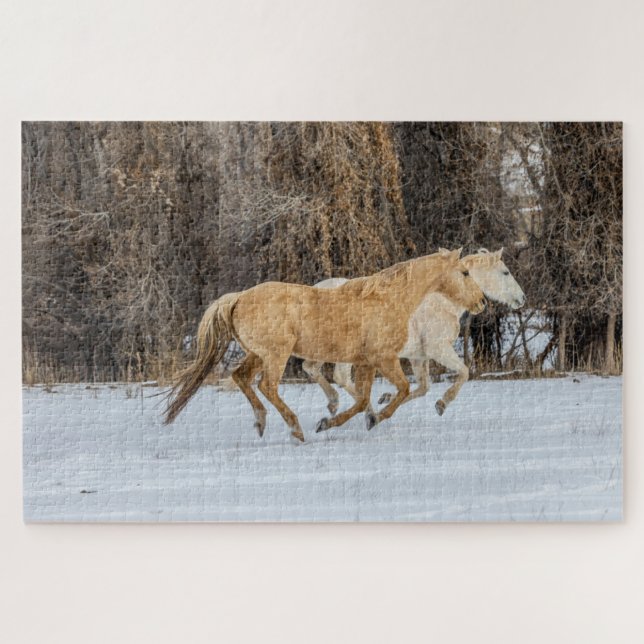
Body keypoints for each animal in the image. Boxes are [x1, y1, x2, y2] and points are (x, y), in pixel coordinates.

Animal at [163, 248, 486, 442]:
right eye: (465, 272)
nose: (482, 302)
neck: (387, 300)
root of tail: (239, 298)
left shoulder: (366, 362)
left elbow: (362, 400)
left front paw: (338, 421)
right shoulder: (384, 358)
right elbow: (403, 390)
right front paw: (373, 418)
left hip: (256, 353)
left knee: (241, 377)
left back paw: (261, 423)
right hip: (276, 355)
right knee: (267, 386)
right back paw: (295, 429)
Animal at [303, 248, 525, 419]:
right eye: (505, 272)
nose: (522, 298)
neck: (442, 302)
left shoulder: (419, 356)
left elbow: (422, 388)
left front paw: (385, 399)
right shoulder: (438, 349)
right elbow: (464, 372)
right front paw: (441, 404)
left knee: (312, 368)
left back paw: (342, 406)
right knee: (338, 376)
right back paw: (361, 410)